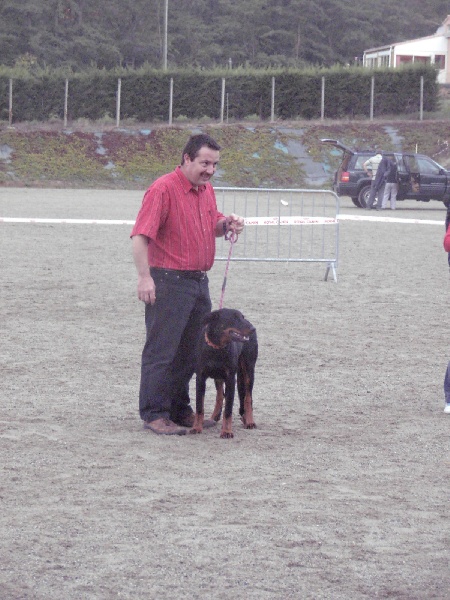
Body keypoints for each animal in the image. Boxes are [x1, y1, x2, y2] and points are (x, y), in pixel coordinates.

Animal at [190, 308, 258, 438]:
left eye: (242, 317)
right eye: (234, 318)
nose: (253, 329)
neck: (217, 348)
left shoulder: (230, 379)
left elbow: (228, 410)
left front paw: (226, 431)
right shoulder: (200, 378)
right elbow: (199, 406)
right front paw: (196, 427)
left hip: (248, 370)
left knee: (248, 397)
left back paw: (250, 421)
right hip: (219, 377)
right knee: (220, 395)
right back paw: (214, 416)